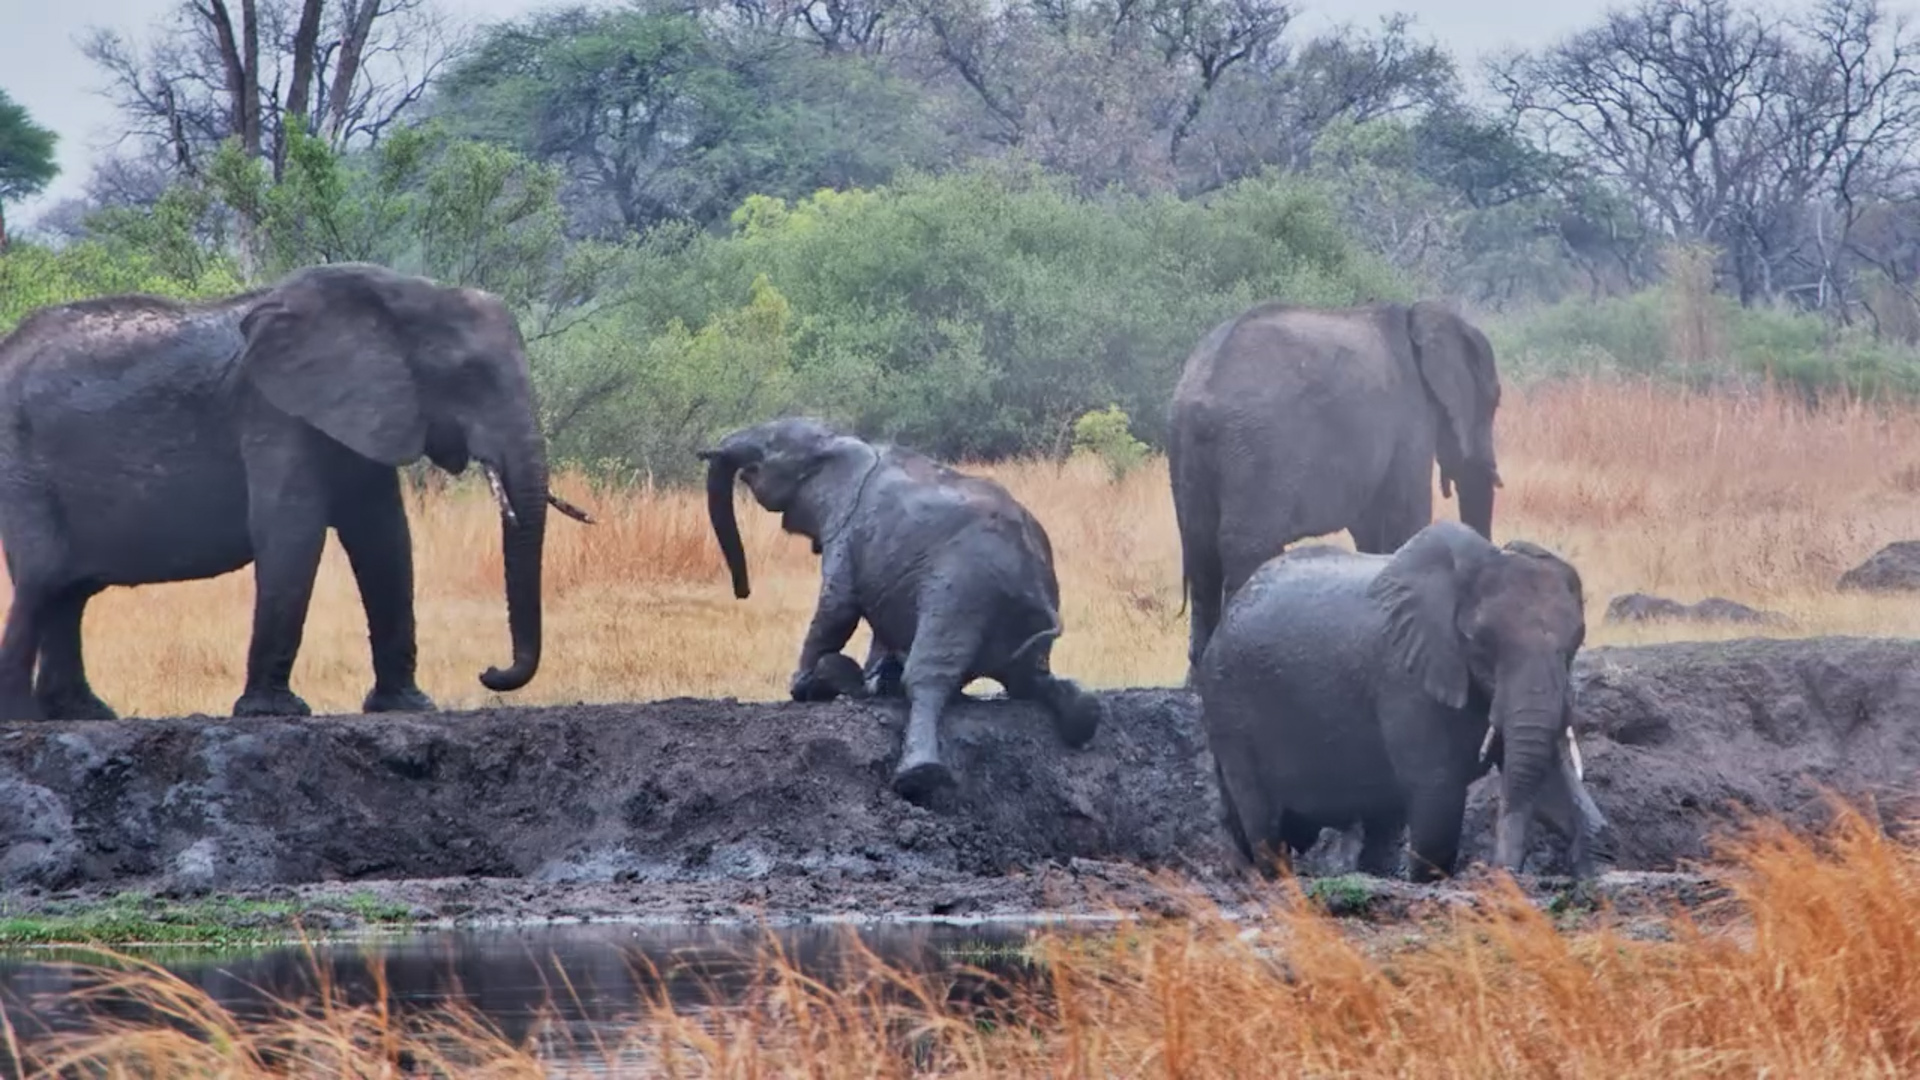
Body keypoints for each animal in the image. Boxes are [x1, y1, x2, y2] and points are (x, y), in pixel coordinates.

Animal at [0, 261, 591, 722]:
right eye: (469, 375)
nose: (490, 672)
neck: (400, 297)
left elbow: (385, 539)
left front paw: (406, 706)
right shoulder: (273, 412)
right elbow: (293, 532)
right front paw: (272, 712)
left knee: (68, 590)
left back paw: (83, 714)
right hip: (18, 463)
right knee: (45, 578)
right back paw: (25, 718)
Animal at [698, 416, 1106, 802]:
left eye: (769, 446)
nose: (743, 592)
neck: (842, 441)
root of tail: (1032, 575)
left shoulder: (847, 530)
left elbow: (837, 608)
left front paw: (801, 685)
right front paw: (862, 681)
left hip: (962, 588)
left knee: (929, 674)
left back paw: (919, 775)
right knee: (1028, 678)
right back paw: (1083, 717)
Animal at [1168, 299, 1504, 684]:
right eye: (1494, 400)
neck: (1417, 318)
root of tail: (1200, 394)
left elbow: (1371, 530)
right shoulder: (1411, 420)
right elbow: (1405, 518)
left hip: (1189, 447)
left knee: (1200, 549)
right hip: (1255, 448)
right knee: (1245, 547)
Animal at [1193, 520, 1607, 883]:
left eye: (1575, 643)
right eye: (1481, 644)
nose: (1499, 871)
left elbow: (1543, 776)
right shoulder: (1404, 678)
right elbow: (1437, 793)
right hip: (1228, 704)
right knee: (1261, 820)